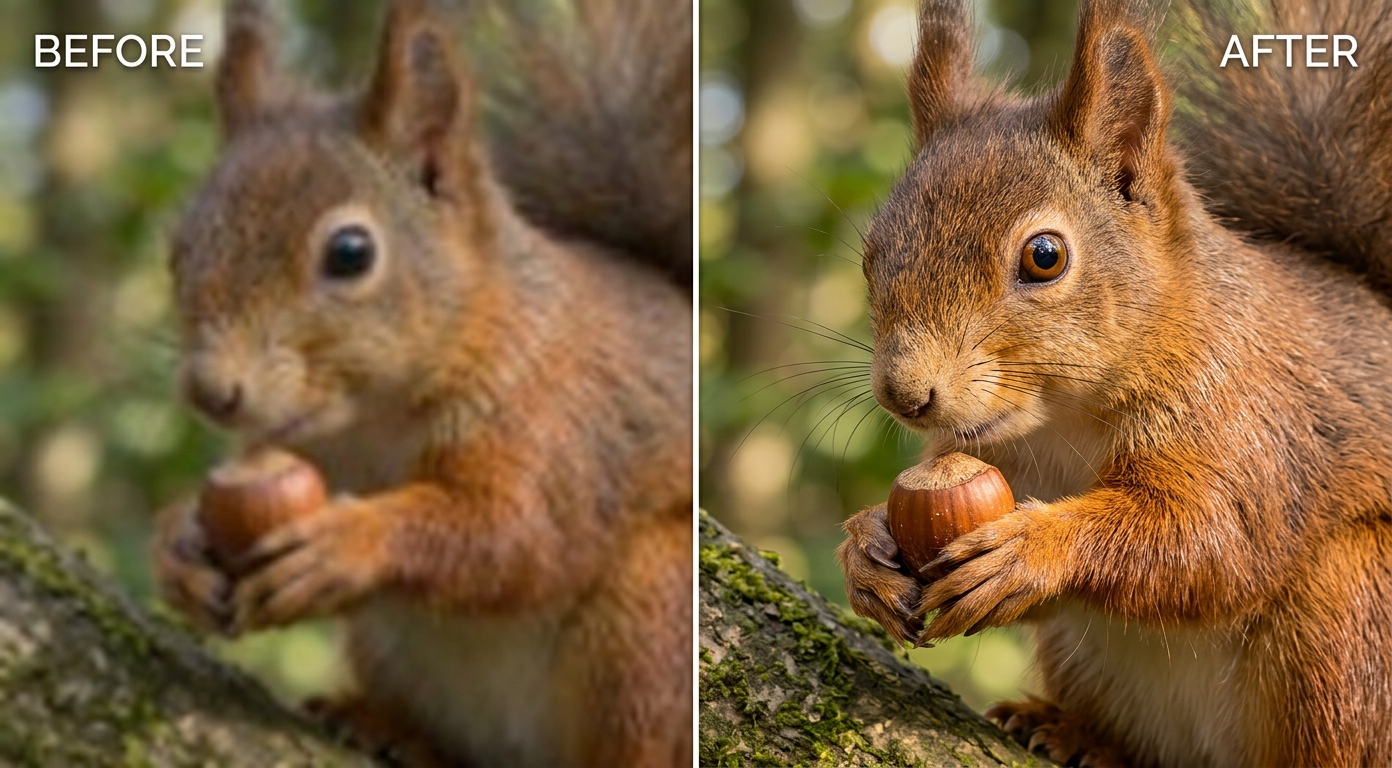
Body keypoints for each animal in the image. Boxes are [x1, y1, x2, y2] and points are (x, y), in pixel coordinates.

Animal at [151, 0, 692, 766]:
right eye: (178, 252)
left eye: (351, 253)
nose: (211, 392)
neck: (370, 421)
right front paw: (179, 547)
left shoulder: (558, 420)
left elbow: (517, 534)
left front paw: (352, 540)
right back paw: (385, 726)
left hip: (647, 613)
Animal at [835, 0, 1392, 765]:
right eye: (870, 256)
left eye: (1045, 256)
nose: (905, 394)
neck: (1064, 419)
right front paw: (864, 548)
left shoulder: (1252, 421)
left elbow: (1210, 539)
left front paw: (1035, 547)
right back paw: (1072, 732)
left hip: (1351, 615)